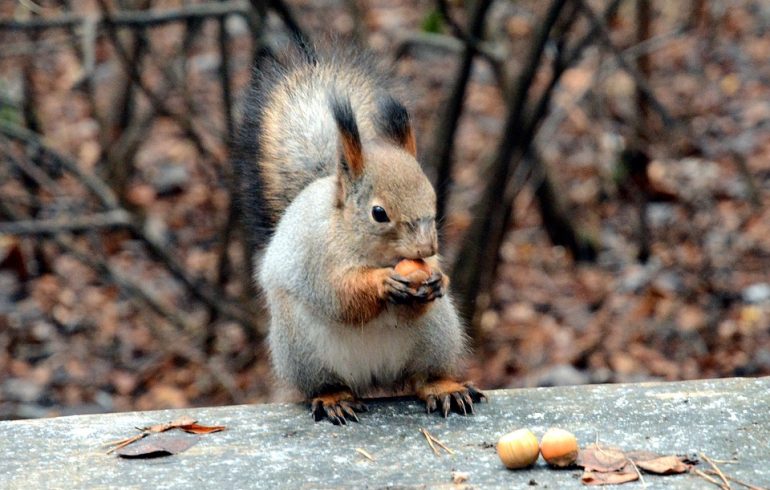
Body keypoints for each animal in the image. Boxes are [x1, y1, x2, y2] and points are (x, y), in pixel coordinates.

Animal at [234, 44, 486, 424]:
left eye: (433, 199)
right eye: (379, 213)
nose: (426, 249)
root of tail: (374, 376)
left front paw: (438, 279)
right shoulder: (316, 258)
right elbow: (339, 296)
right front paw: (382, 283)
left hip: (438, 333)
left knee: (422, 376)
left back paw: (443, 388)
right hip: (301, 347)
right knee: (326, 381)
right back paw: (333, 397)